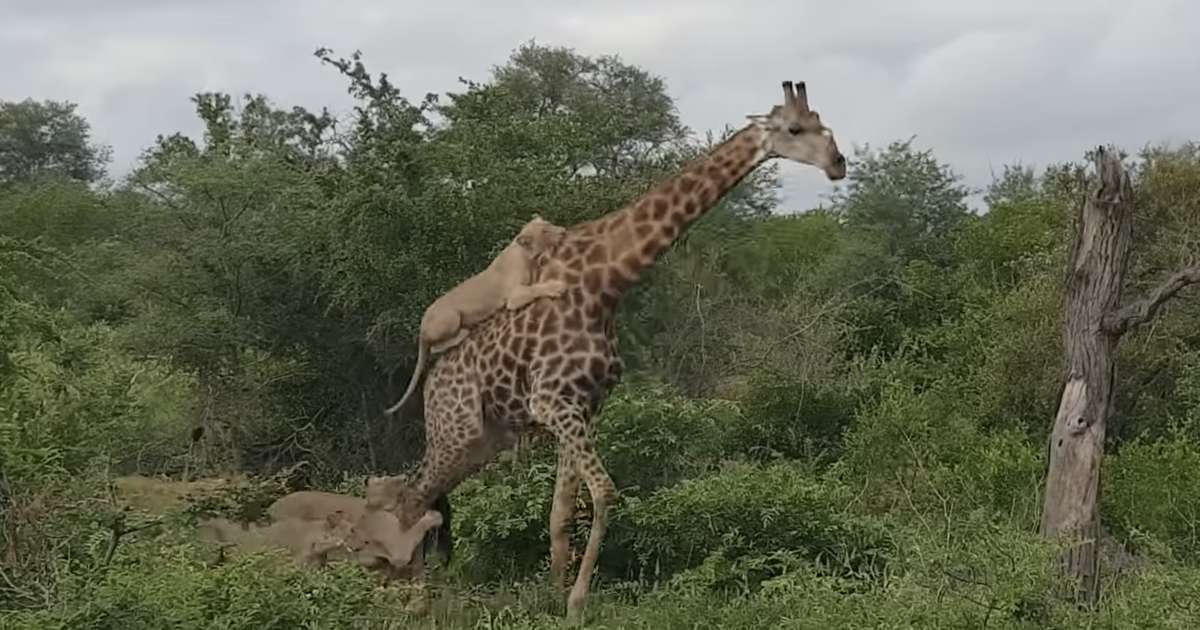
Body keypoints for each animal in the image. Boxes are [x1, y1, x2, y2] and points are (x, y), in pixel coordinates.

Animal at [386, 213, 568, 415]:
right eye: (544, 231)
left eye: (548, 224)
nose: (563, 231)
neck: (526, 255)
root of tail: (421, 330)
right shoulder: (514, 296)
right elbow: (534, 289)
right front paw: (557, 286)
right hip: (451, 316)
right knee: (436, 347)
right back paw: (465, 332)